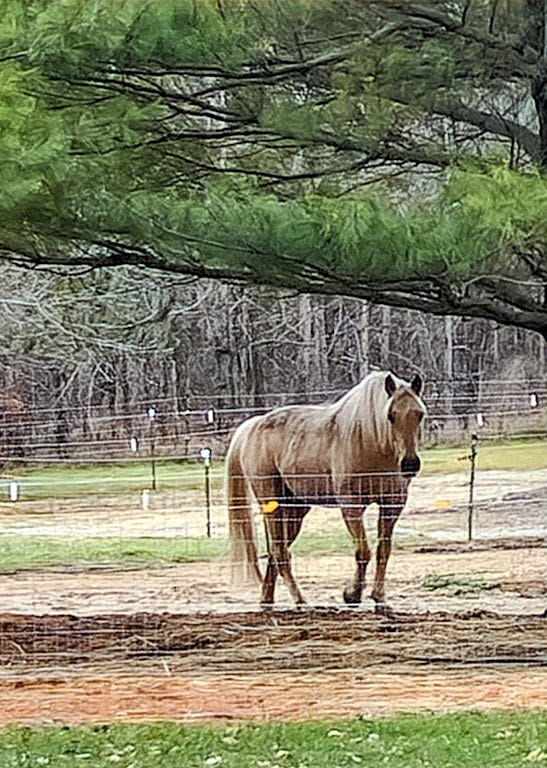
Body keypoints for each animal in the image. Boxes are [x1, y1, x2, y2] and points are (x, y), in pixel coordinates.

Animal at [227, 371, 426, 613]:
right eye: (391, 415)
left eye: (419, 414)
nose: (410, 463)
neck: (370, 439)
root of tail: (252, 427)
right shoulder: (351, 506)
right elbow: (363, 551)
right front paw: (352, 594)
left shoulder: (392, 505)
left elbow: (383, 551)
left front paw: (380, 599)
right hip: (272, 504)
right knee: (281, 553)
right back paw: (301, 602)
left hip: (294, 511)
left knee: (276, 551)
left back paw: (267, 601)